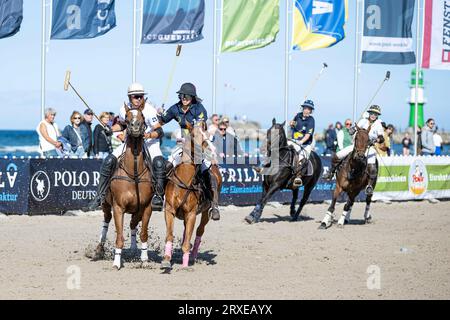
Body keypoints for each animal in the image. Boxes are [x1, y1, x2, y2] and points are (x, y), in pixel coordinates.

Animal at [91, 104, 155, 268]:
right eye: (126, 118)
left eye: (142, 116)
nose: (135, 126)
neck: (134, 173)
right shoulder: (118, 207)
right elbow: (119, 237)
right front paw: (116, 262)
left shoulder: (146, 207)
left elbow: (143, 234)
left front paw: (144, 259)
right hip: (106, 204)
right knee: (106, 221)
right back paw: (98, 249)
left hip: (137, 210)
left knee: (133, 224)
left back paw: (133, 249)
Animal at [161, 122, 222, 270]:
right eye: (194, 135)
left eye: (208, 134)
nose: (212, 150)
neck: (184, 180)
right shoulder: (169, 210)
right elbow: (169, 235)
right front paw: (166, 259)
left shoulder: (191, 214)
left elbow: (188, 239)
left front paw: (185, 264)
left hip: (206, 211)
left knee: (200, 231)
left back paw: (193, 256)